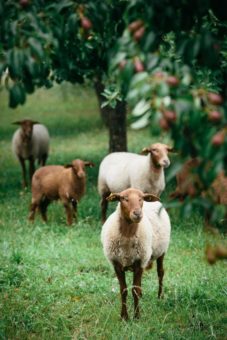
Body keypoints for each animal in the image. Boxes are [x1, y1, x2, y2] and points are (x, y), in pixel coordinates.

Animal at [101, 187, 170, 320]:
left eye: (141, 198)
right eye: (123, 198)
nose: (137, 213)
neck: (127, 236)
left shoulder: (140, 262)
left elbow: (135, 291)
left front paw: (137, 316)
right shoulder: (117, 264)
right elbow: (123, 290)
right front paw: (124, 316)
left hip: (161, 251)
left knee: (160, 273)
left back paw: (160, 296)